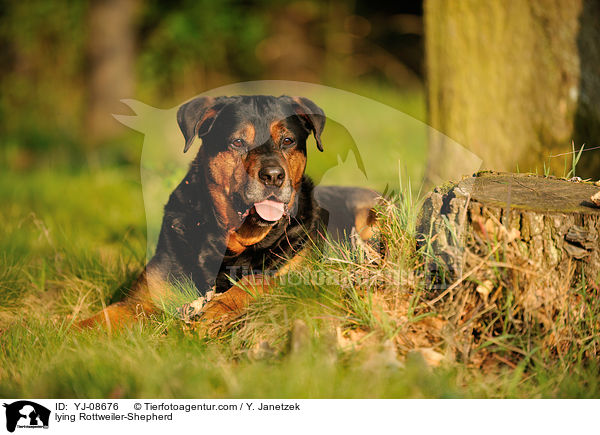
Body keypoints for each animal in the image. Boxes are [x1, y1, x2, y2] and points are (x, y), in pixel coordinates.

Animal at [79, 96, 380, 330]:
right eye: (237, 142)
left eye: (287, 140)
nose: (274, 176)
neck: (237, 242)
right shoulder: (141, 298)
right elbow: (97, 320)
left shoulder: (300, 274)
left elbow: (259, 280)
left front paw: (216, 308)